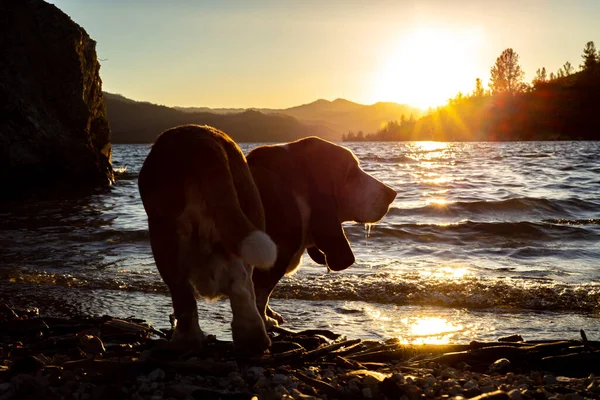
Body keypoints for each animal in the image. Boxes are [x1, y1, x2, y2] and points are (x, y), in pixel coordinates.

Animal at [138, 124, 276, 354]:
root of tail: (202, 140)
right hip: (247, 213)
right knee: (242, 287)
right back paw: (252, 340)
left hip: (163, 237)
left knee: (182, 296)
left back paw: (183, 342)